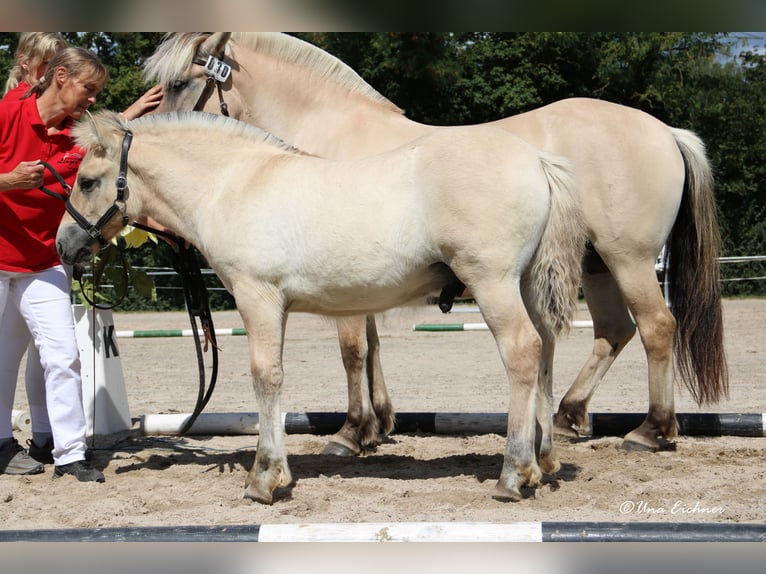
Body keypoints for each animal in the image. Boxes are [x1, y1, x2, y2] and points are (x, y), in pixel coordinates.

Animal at [58, 109, 588, 504]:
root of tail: (538, 160)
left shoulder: (258, 298)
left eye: (87, 181)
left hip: (493, 284)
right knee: (544, 352)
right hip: (526, 287)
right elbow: (276, 378)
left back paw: (513, 473)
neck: (233, 184)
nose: (65, 247)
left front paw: (265, 478)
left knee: (522, 352)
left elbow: (265, 377)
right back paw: (542, 462)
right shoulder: (277, 307)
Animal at [146, 33, 732, 456]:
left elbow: (353, 351)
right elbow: (373, 348)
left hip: (627, 259)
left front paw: (350, 433)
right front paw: (378, 424)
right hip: (595, 267)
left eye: (177, 83)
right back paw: (568, 417)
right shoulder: (361, 283)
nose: (139, 125)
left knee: (657, 328)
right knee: (614, 333)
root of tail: (665, 131)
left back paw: (652, 430)